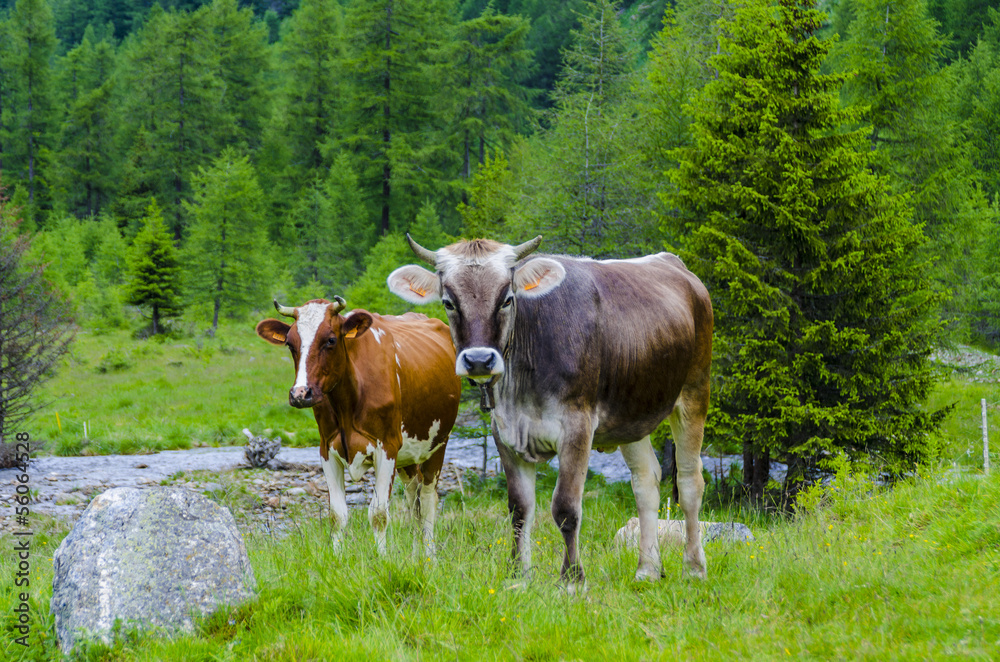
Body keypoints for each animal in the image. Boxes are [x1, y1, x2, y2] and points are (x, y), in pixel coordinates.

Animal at [255, 297, 461, 557]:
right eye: (290, 344)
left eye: (331, 340)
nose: (300, 393)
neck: (348, 401)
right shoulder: (326, 449)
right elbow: (337, 514)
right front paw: (336, 557)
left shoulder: (387, 448)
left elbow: (379, 514)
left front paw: (383, 559)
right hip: (409, 456)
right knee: (412, 496)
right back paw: (415, 554)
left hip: (438, 444)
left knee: (427, 498)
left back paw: (429, 555)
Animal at [387, 236, 713, 585]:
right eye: (449, 302)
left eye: (507, 299)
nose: (478, 361)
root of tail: (674, 263)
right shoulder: (505, 432)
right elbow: (519, 509)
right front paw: (519, 575)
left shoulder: (577, 427)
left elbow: (566, 508)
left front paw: (572, 579)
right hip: (633, 413)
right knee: (645, 482)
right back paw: (647, 569)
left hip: (694, 392)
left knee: (690, 481)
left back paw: (694, 567)